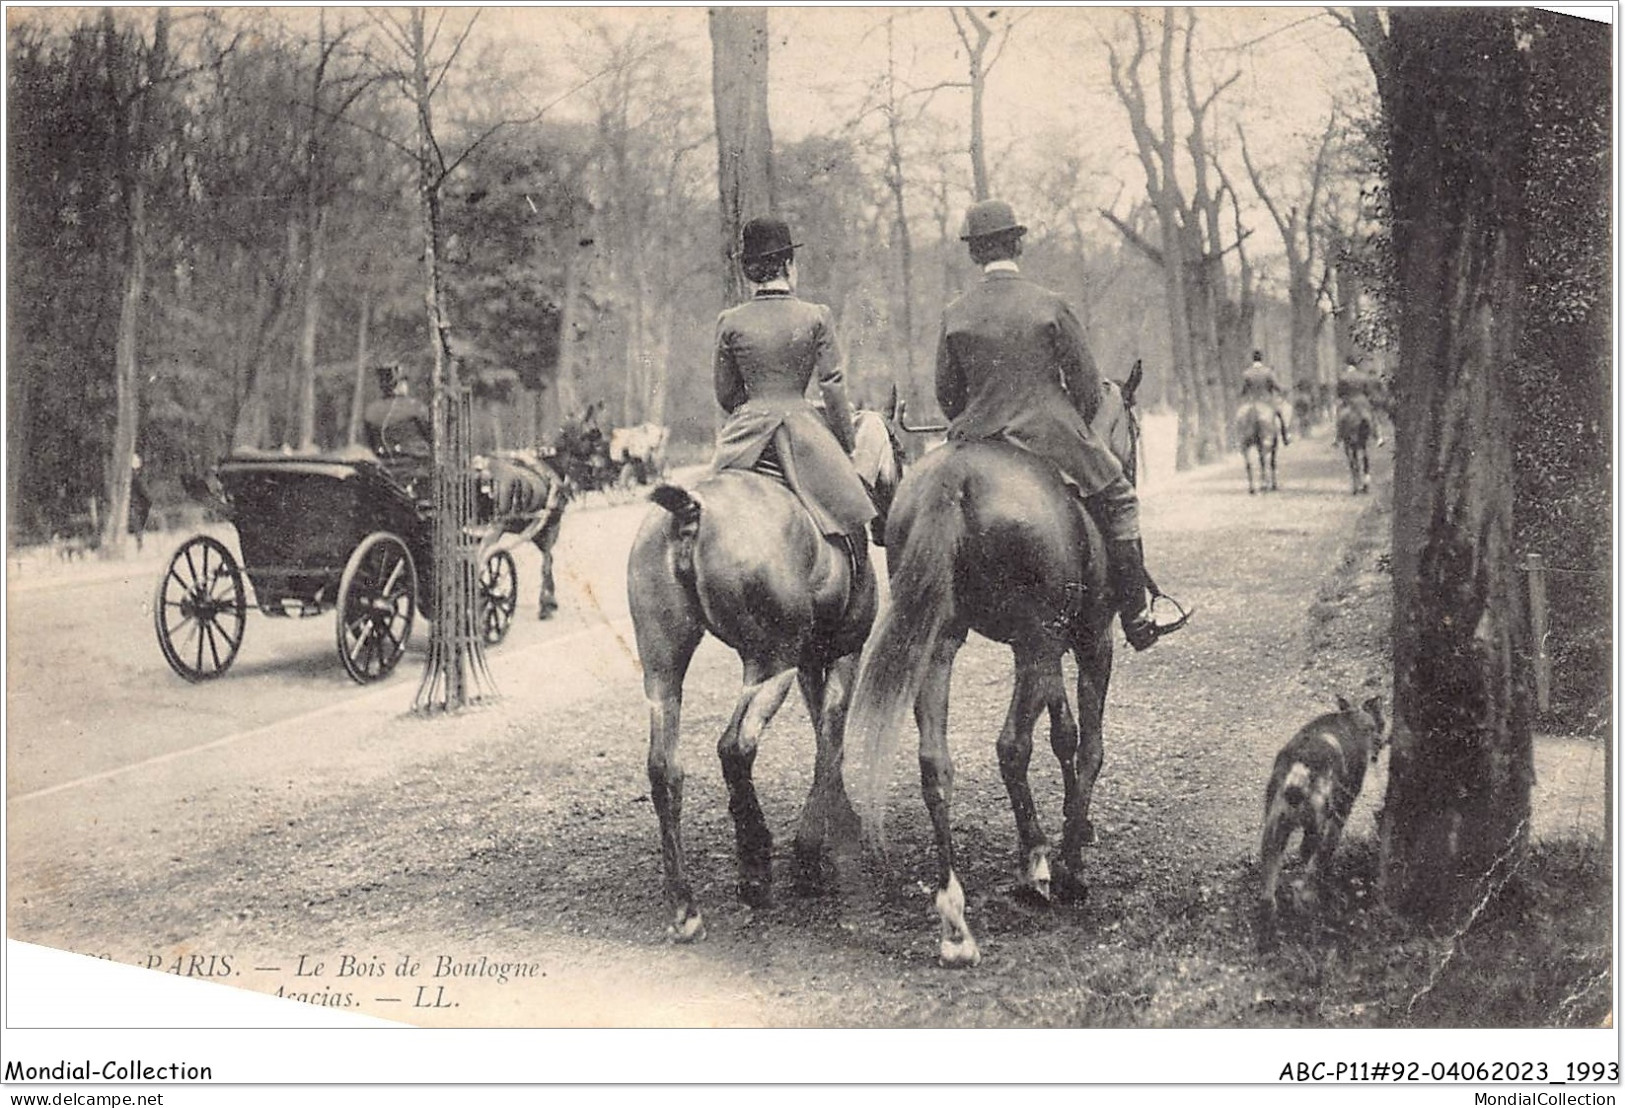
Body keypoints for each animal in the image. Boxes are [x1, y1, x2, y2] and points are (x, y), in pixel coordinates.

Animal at [624, 409, 903, 935]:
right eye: (899, 446)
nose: (886, 526)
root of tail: (690, 512)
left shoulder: (813, 659)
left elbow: (823, 735)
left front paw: (835, 822)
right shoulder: (842, 654)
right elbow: (830, 739)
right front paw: (812, 853)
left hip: (662, 670)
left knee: (663, 767)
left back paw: (684, 903)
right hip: (771, 664)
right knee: (735, 747)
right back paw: (754, 867)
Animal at [851, 368, 1144, 955]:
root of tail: (956, 479)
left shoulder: (1043, 648)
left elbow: (1063, 732)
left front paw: (1076, 825)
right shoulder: (1086, 641)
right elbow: (1087, 744)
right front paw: (1073, 859)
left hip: (944, 643)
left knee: (935, 761)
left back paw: (954, 914)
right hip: (1037, 643)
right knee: (1011, 747)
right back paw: (1038, 865)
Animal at [1248, 688, 1391, 942]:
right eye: (1380, 722)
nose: (1383, 741)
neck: (1353, 717)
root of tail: (1300, 768)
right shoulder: (1344, 804)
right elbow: (1330, 846)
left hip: (1274, 826)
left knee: (1268, 887)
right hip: (1317, 818)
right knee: (1309, 857)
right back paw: (1307, 900)